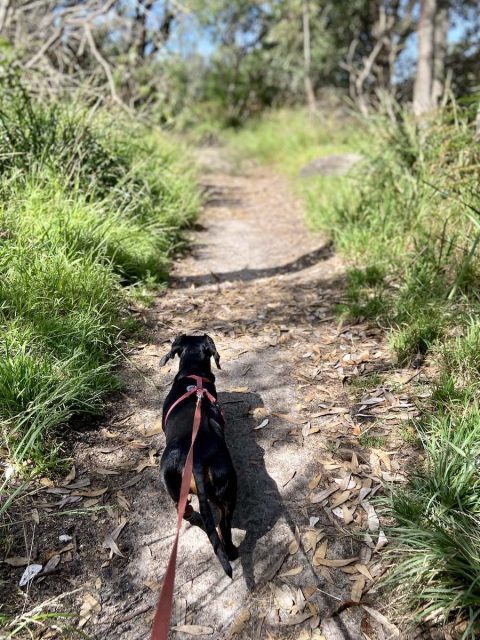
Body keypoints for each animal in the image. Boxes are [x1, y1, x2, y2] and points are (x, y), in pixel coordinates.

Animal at [158, 336, 239, 576]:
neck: (194, 373)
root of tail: (197, 460)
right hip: (228, 495)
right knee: (224, 529)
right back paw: (231, 551)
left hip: (170, 483)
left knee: (184, 508)